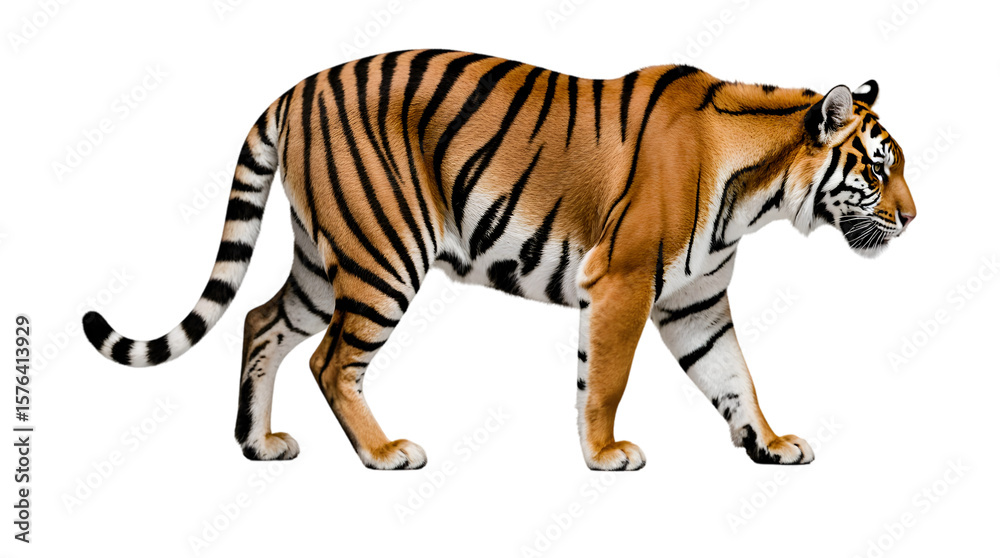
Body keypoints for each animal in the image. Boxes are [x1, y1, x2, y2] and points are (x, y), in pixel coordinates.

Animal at [82, 49, 916, 470]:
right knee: (330, 361)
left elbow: (735, 376)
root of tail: (291, 91)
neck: (760, 190)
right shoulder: (622, 283)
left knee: (260, 321)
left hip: (325, 263)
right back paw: (384, 452)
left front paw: (769, 444)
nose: (912, 219)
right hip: (383, 254)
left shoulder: (695, 302)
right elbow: (607, 381)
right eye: (878, 170)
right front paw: (606, 453)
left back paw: (258, 444)